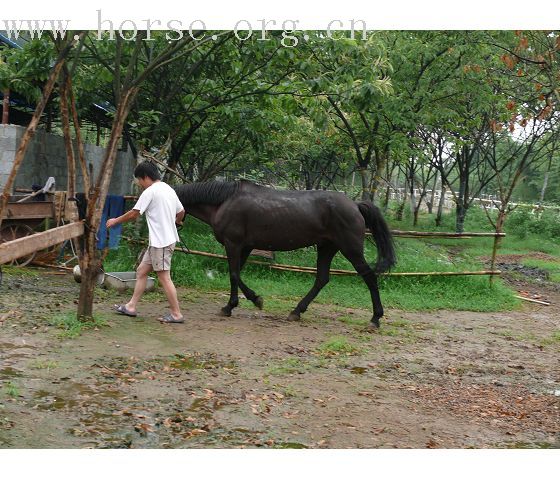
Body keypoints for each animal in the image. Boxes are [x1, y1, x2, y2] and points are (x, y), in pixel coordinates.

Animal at [177, 182, 396, 328]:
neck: (225, 202)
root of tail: (355, 205)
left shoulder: (234, 244)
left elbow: (233, 275)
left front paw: (250, 301)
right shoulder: (244, 247)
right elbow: (236, 275)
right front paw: (235, 305)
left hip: (350, 249)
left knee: (369, 276)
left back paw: (375, 318)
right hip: (326, 248)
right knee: (321, 279)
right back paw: (296, 311)